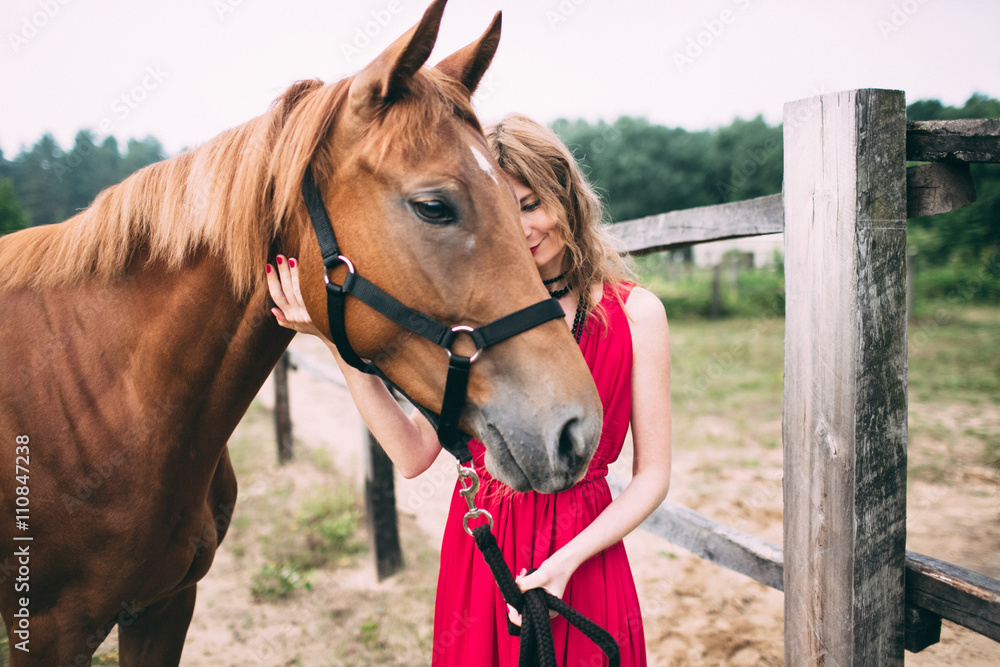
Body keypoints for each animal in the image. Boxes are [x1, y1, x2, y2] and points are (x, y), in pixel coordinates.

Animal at [0, 1, 603, 662]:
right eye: (434, 206)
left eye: (518, 204)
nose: (576, 429)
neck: (104, 401)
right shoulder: (49, 632)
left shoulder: (165, 608)